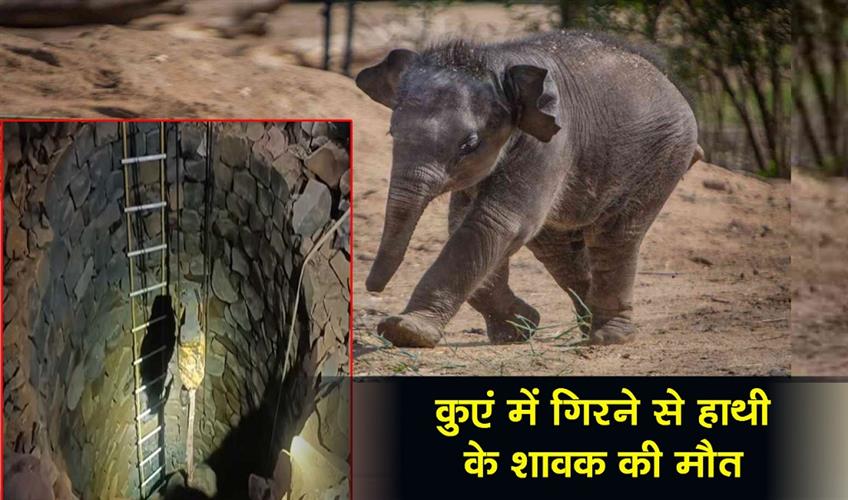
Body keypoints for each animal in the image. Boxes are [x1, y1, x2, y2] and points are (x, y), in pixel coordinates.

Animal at [356, 31, 701, 348]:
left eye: (469, 144)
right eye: (391, 132)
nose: (373, 289)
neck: (497, 61)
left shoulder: (551, 143)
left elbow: (496, 222)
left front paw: (405, 331)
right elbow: (467, 224)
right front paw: (519, 329)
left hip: (664, 154)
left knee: (615, 238)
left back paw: (607, 337)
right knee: (557, 251)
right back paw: (585, 322)